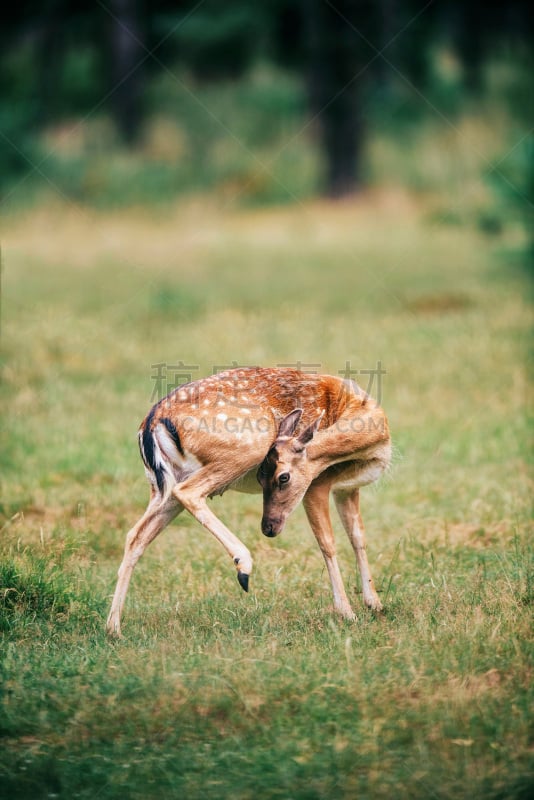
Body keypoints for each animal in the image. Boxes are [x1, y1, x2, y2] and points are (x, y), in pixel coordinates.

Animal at [107, 364, 392, 636]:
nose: (268, 528)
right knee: (188, 492)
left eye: (281, 477)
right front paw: (347, 613)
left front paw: (374, 603)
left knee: (135, 535)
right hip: (245, 449)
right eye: (269, 477)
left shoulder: (346, 489)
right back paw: (244, 567)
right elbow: (327, 543)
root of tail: (150, 424)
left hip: (161, 486)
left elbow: (358, 537)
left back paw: (114, 629)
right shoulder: (317, 484)